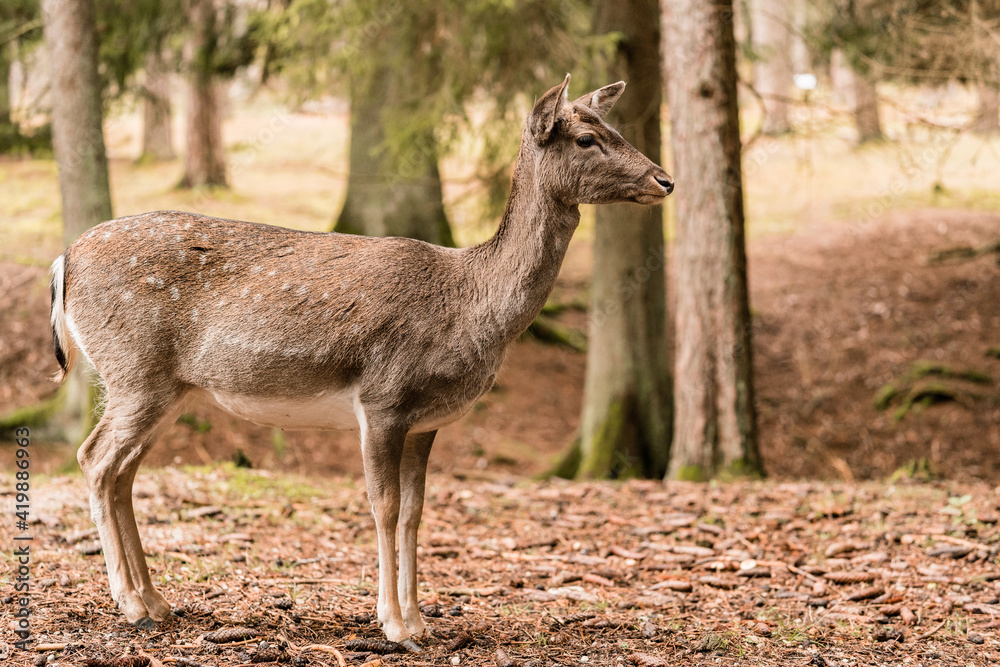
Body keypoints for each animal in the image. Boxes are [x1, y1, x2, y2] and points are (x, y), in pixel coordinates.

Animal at [48, 74, 672, 652]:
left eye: (614, 127)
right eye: (587, 138)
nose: (664, 179)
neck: (472, 306)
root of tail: (64, 260)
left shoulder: (427, 421)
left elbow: (417, 511)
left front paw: (419, 621)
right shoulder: (383, 398)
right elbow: (384, 506)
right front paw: (393, 624)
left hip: (166, 388)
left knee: (122, 470)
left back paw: (156, 601)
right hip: (135, 370)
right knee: (94, 458)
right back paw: (132, 605)